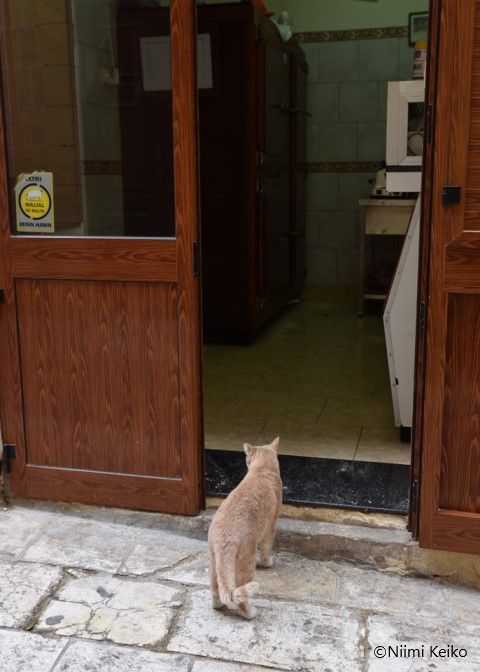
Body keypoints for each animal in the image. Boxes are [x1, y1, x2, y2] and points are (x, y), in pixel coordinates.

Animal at [206, 436, 282, 620]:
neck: (262, 470)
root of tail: (225, 534)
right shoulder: (270, 528)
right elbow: (266, 549)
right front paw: (266, 563)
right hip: (246, 561)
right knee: (241, 597)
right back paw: (250, 613)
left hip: (213, 561)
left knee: (216, 589)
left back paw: (218, 605)